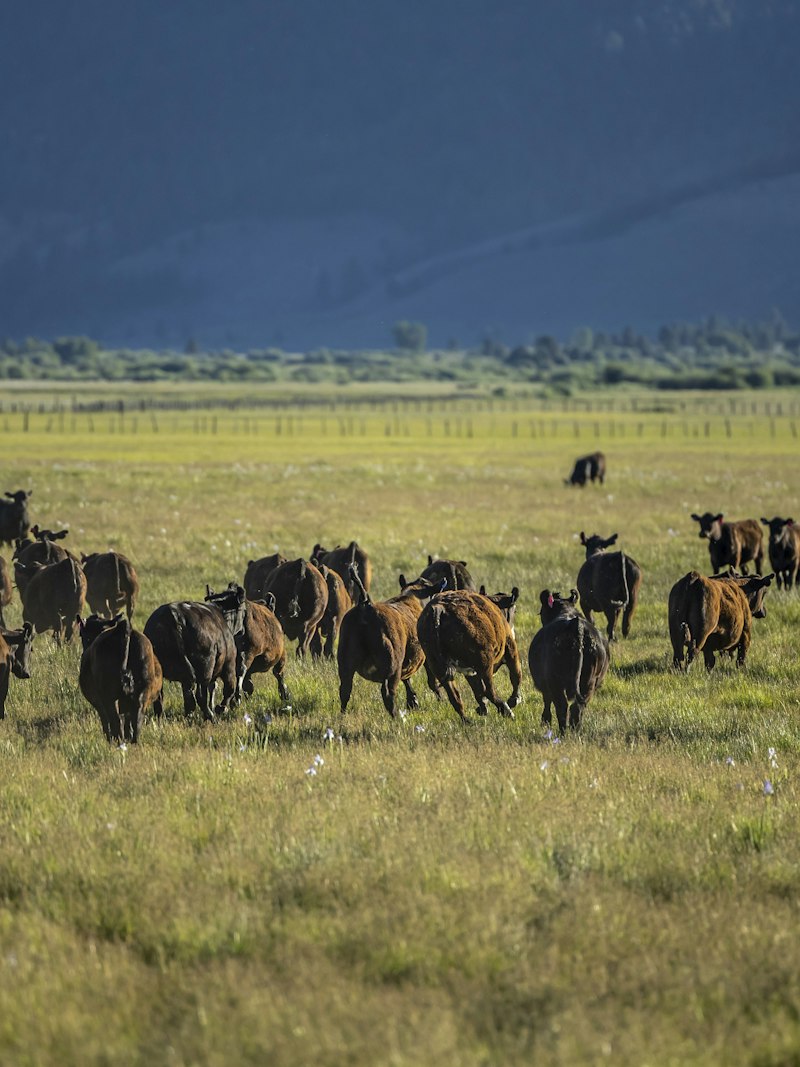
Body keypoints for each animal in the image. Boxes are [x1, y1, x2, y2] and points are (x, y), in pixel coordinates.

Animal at [78, 614, 162, 744]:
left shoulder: (99, 703)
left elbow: (106, 721)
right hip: (143, 691)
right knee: (137, 717)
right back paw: (133, 741)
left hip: (109, 696)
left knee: (115, 720)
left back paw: (117, 741)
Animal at [144, 585, 246, 721]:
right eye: (243, 610)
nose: (243, 631)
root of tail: (174, 616)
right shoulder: (229, 664)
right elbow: (229, 689)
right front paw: (221, 708)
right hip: (206, 667)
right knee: (201, 695)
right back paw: (210, 715)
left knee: (163, 697)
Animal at [337, 567, 442, 719]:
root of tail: (366, 604)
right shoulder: (427, 657)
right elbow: (432, 681)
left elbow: (408, 680)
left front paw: (413, 701)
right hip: (392, 665)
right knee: (387, 692)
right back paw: (396, 717)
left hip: (346, 664)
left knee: (345, 690)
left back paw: (342, 715)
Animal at [416, 587, 522, 723]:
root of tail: (439, 608)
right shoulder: (511, 649)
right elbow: (516, 676)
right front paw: (514, 700)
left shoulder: (469, 671)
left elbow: (478, 690)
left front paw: (482, 708)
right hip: (485, 663)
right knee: (489, 690)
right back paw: (507, 711)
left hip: (439, 667)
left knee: (455, 697)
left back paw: (467, 721)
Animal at [528, 589, 609, 732]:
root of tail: (575, 624)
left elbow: (547, 701)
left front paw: (545, 722)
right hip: (589, 681)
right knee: (577, 707)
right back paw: (575, 731)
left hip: (556, 681)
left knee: (562, 707)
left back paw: (563, 731)